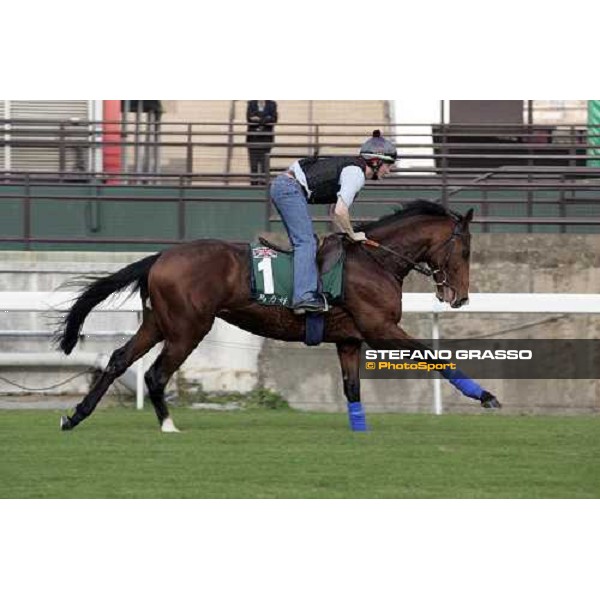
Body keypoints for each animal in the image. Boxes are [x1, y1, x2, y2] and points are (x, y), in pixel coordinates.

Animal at [56, 200, 500, 432]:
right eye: (465, 250)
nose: (459, 296)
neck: (375, 260)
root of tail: (160, 256)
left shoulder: (349, 339)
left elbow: (351, 389)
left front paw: (360, 432)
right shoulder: (381, 327)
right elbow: (434, 357)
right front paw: (486, 397)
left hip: (156, 322)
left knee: (118, 360)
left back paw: (75, 416)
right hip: (187, 328)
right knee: (154, 374)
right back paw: (167, 425)